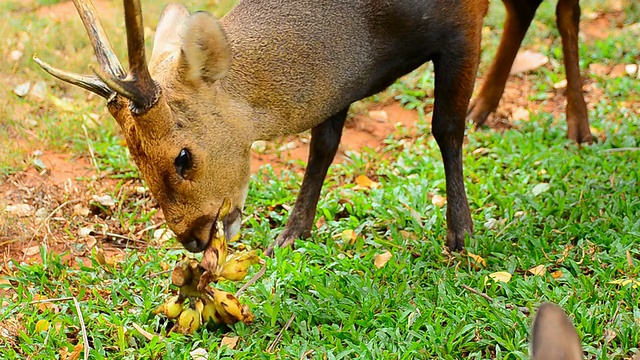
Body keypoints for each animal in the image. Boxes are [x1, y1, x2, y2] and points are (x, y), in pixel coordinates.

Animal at [35, 0, 488, 255]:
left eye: (183, 156)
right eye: (135, 158)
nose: (193, 239)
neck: (373, 28)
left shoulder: (464, 23)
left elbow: (446, 128)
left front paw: (462, 235)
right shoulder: (338, 86)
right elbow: (323, 145)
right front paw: (291, 233)